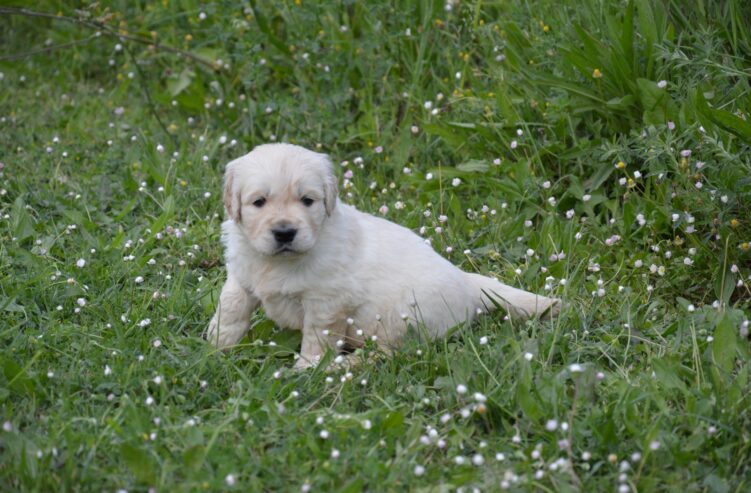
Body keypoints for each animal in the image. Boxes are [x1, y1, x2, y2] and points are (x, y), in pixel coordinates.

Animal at [206, 142, 560, 366]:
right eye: (259, 202)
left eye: (307, 201)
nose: (284, 232)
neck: (277, 262)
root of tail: (467, 282)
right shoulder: (242, 274)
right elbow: (231, 309)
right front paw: (215, 348)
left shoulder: (327, 301)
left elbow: (317, 338)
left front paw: (308, 369)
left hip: (401, 319)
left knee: (389, 354)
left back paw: (344, 367)